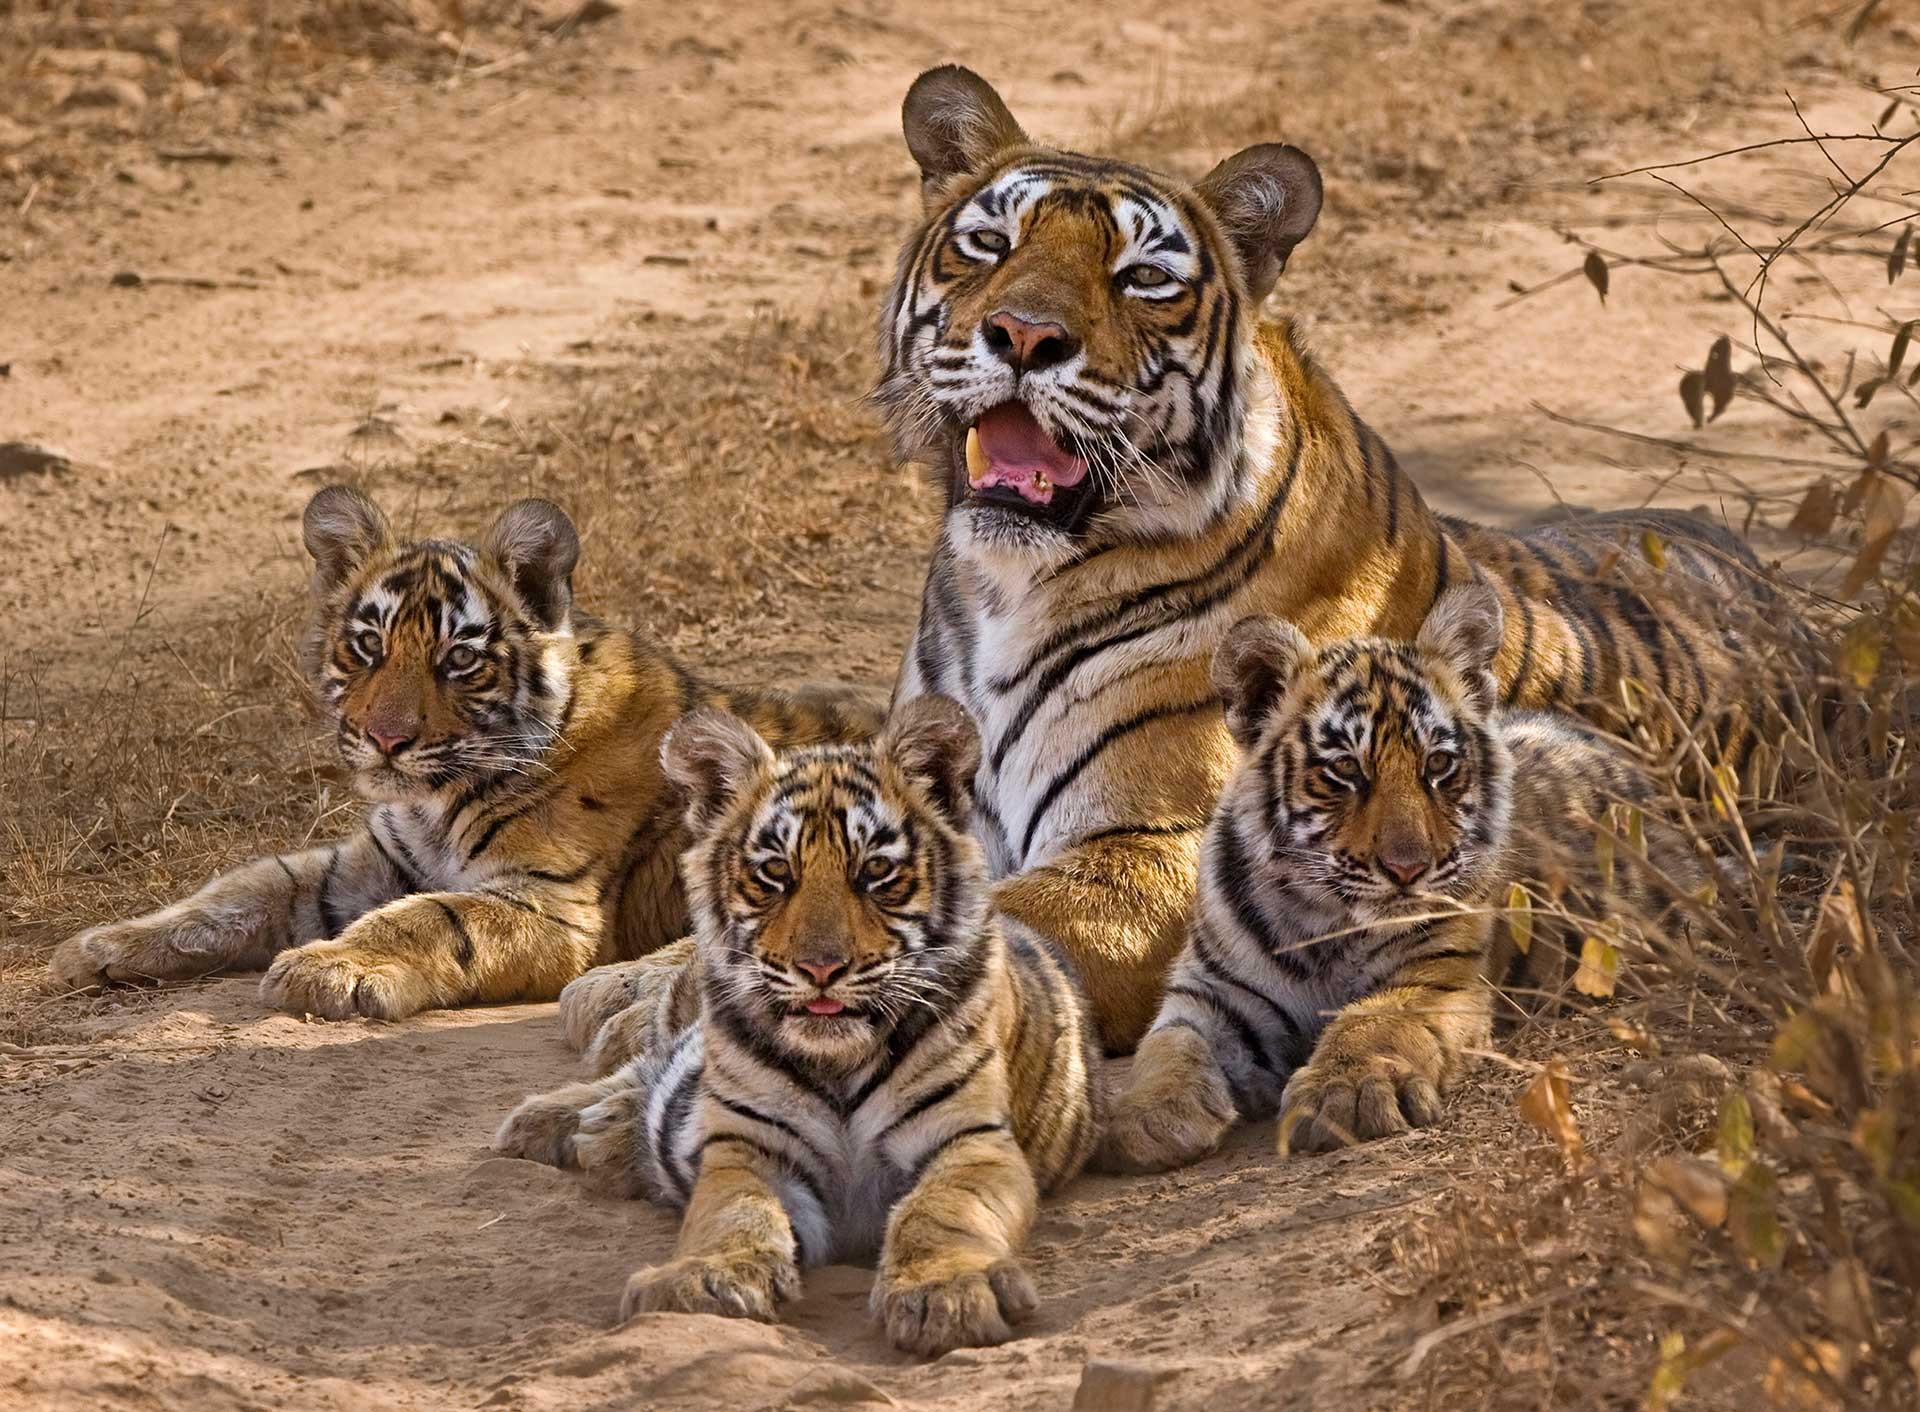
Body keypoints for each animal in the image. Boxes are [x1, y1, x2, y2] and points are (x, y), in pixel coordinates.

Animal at [48, 486, 879, 1014]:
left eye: (458, 660)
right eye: (368, 647)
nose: (386, 739)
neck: (434, 800)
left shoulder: (550, 905)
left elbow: (427, 919)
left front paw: (327, 968)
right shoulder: (363, 865)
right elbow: (237, 892)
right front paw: (100, 945)